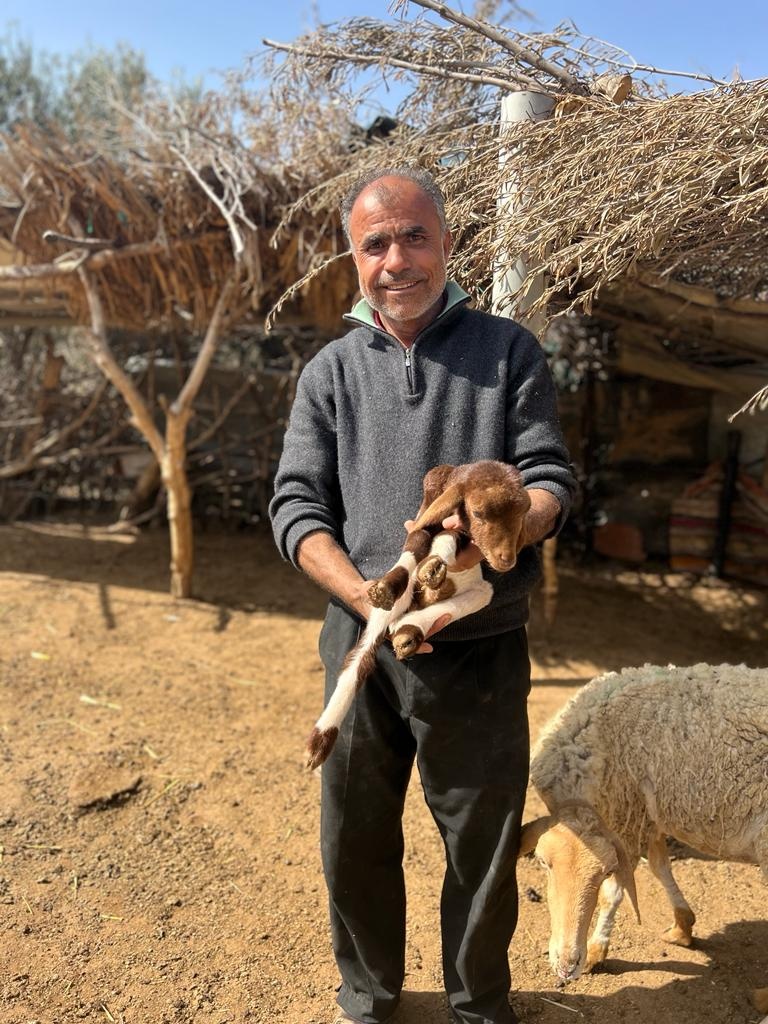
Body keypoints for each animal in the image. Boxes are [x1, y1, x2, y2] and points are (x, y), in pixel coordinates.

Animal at [520, 659, 768, 1011]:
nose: (568, 966)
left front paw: (596, 949)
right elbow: (659, 865)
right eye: (542, 862)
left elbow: (615, 891)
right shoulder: (644, 810)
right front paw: (682, 924)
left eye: (604, 871)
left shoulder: (628, 815)